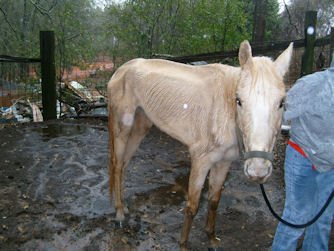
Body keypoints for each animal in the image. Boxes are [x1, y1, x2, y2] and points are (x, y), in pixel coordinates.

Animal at [106, 40, 292, 249]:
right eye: (239, 101)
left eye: (282, 102)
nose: (258, 170)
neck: (225, 110)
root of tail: (121, 70)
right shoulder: (200, 161)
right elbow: (192, 207)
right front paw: (183, 245)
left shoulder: (223, 162)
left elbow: (214, 201)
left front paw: (211, 238)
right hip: (123, 128)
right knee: (117, 165)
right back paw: (119, 213)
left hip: (140, 127)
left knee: (123, 165)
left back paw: (123, 207)